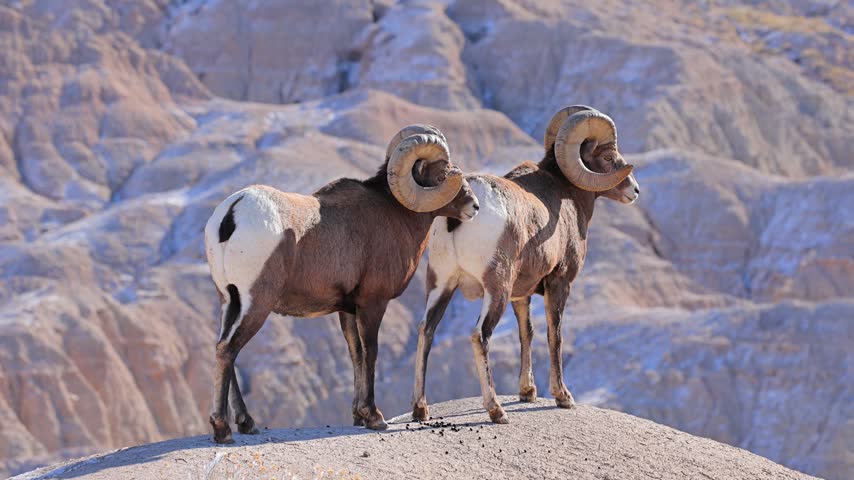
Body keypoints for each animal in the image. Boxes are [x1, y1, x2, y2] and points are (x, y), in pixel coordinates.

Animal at [204, 125, 479, 443]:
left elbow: (356, 355)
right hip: (256, 303)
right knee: (228, 349)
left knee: (225, 349)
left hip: (229, 302)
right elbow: (371, 352)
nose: (475, 207)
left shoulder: (347, 310)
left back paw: (247, 423)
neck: (395, 216)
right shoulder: (373, 303)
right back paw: (224, 430)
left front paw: (359, 416)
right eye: (443, 172)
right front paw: (375, 417)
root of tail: (231, 214)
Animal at [411, 106, 640, 424]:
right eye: (607, 158)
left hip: (441, 284)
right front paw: (563, 397)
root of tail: (459, 218)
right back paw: (496, 411)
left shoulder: (522, 294)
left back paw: (420, 410)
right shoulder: (559, 282)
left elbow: (526, 332)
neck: (565, 196)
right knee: (480, 335)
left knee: (426, 330)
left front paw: (527, 392)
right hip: (496, 290)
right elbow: (555, 334)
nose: (635, 191)